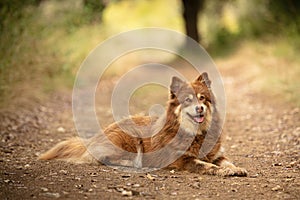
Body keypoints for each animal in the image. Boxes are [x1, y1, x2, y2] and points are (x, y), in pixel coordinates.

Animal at [39, 72, 246, 176]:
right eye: (187, 100)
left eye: (202, 98)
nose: (200, 108)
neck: (196, 133)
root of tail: (93, 138)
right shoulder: (183, 160)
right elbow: (206, 165)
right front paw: (221, 171)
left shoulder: (217, 155)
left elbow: (227, 161)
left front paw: (235, 169)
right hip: (131, 139)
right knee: (103, 158)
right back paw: (133, 163)